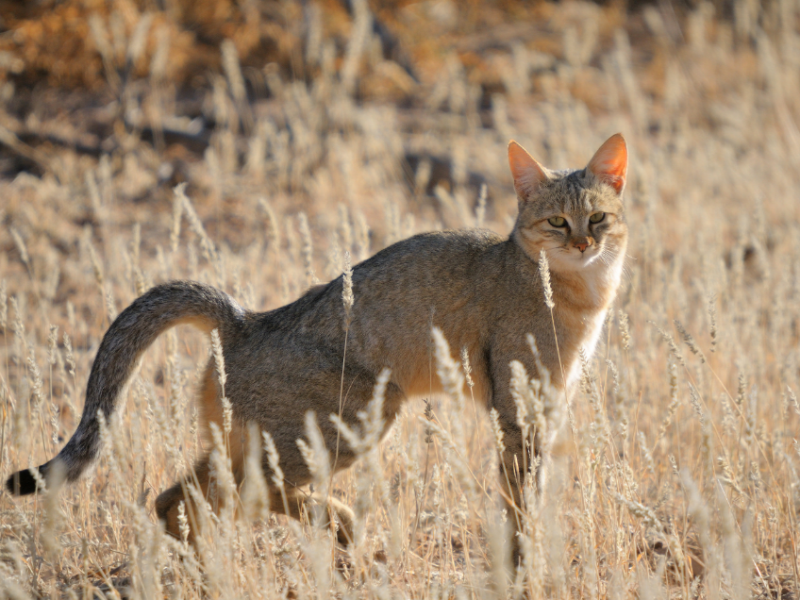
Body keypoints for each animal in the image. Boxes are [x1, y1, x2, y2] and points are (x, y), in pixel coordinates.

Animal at [7, 134, 632, 556]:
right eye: (557, 222)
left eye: (598, 218)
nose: (583, 243)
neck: (580, 299)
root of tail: (245, 319)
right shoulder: (517, 412)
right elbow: (519, 501)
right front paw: (528, 561)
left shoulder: (545, 409)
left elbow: (528, 497)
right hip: (359, 419)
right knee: (241, 493)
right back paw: (339, 523)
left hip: (262, 442)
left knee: (176, 498)